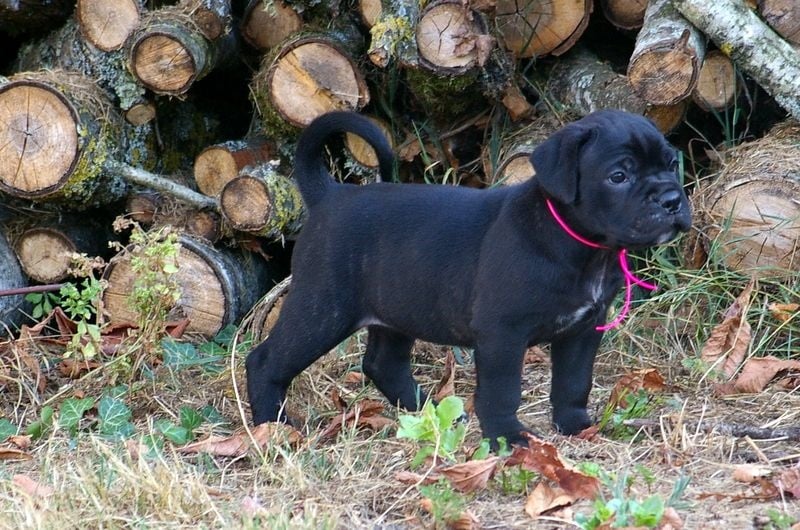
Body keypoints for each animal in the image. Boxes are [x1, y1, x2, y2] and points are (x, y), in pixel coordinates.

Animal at [246, 110, 692, 446]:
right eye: (619, 176)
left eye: (672, 164)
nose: (672, 199)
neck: (579, 244)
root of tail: (331, 195)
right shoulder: (502, 333)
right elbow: (502, 390)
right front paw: (508, 438)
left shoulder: (584, 329)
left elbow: (574, 380)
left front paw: (576, 425)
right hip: (323, 310)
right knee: (266, 361)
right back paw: (273, 430)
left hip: (395, 309)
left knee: (382, 363)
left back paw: (427, 411)